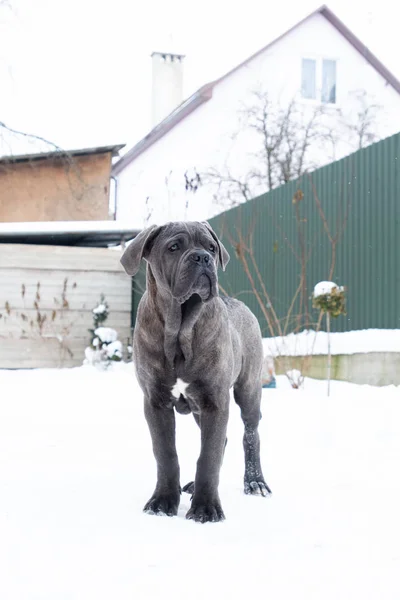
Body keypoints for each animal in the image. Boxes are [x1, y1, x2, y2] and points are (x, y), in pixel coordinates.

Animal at [120, 220, 270, 520]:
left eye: (211, 247)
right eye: (174, 247)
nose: (203, 258)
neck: (180, 328)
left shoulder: (215, 401)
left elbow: (208, 456)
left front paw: (205, 508)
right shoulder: (156, 402)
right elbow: (166, 454)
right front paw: (163, 501)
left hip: (247, 390)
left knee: (250, 434)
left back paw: (255, 482)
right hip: (200, 409)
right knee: (224, 439)